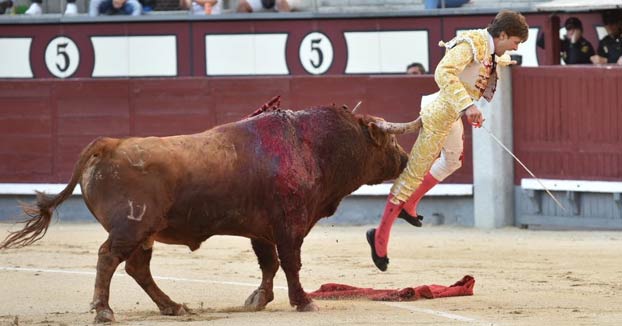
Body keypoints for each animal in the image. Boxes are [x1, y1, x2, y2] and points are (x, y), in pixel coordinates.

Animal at [1, 98, 420, 322]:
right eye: (387, 143)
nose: (405, 159)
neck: (311, 146)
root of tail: (109, 144)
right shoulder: (289, 226)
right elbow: (290, 263)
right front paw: (303, 302)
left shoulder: (261, 230)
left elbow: (268, 264)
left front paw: (258, 300)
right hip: (131, 227)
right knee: (108, 259)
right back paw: (104, 311)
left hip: (144, 233)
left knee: (137, 268)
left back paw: (173, 307)